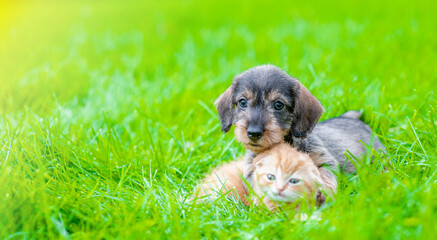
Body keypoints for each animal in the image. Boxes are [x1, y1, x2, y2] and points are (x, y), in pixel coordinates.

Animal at [215, 65, 384, 195]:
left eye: (278, 104)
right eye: (242, 102)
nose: (253, 133)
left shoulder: (324, 159)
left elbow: (326, 176)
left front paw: (324, 193)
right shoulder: (251, 169)